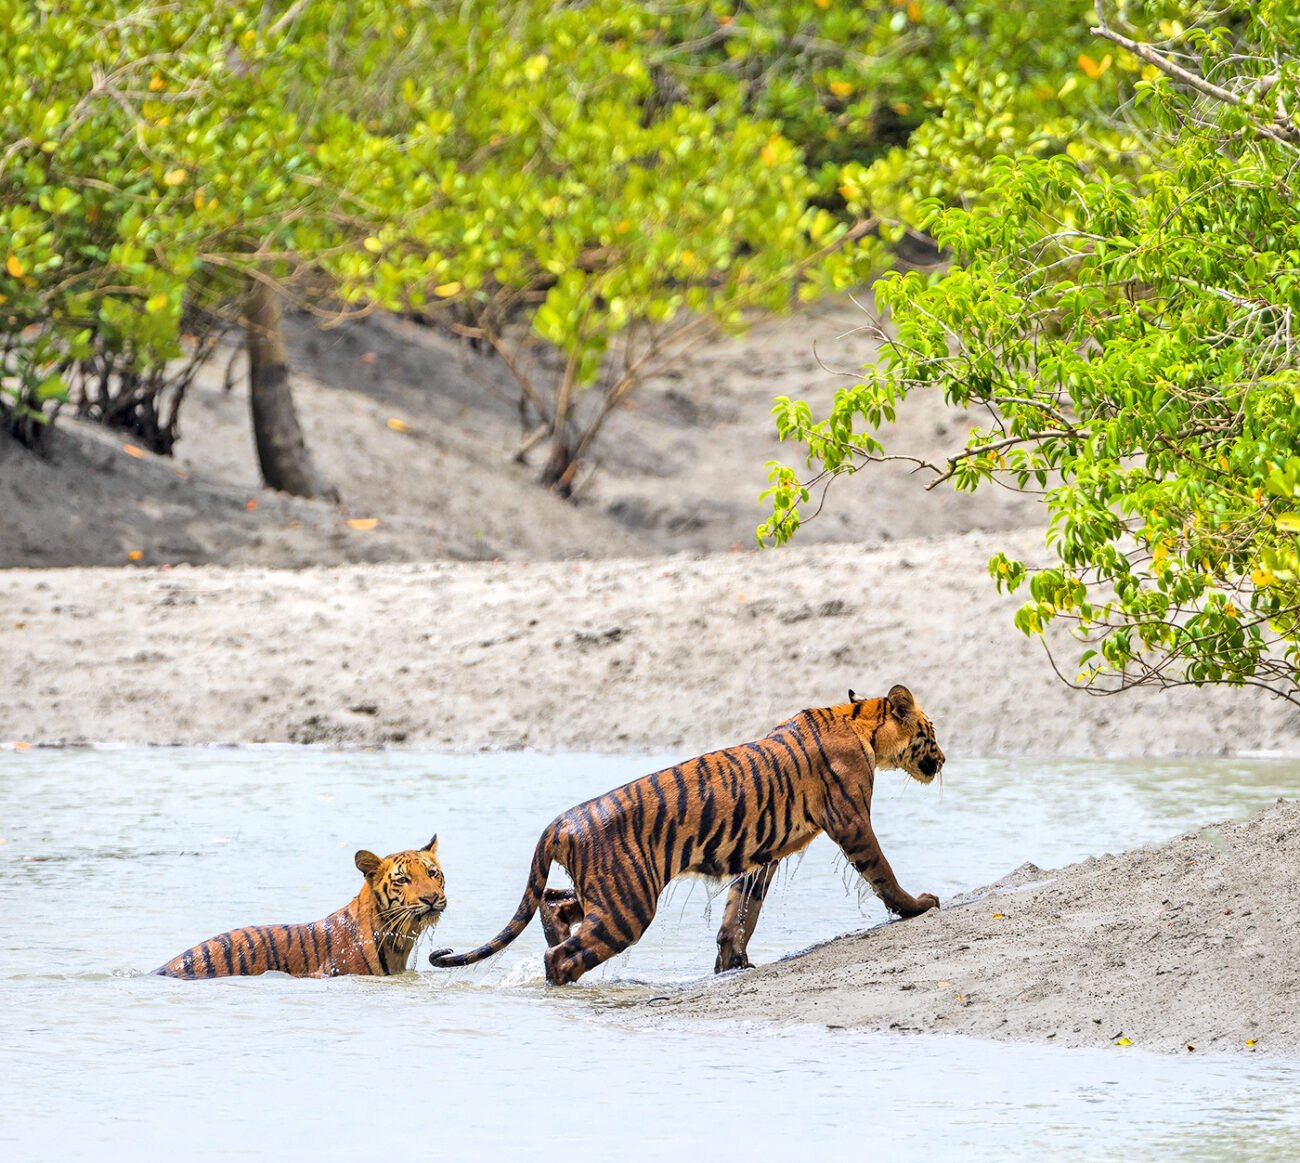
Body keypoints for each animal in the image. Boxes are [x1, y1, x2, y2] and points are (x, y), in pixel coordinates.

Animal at [429, 685, 942, 985]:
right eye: (931, 731)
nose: (943, 758)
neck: (860, 721)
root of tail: (561, 821)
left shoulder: (764, 854)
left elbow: (741, 912)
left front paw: (733, 965)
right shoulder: (852, 823)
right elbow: (883, 872)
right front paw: (918, 906)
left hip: (607, 893)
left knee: (553, 904)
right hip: (627, 905)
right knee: (560, 957)